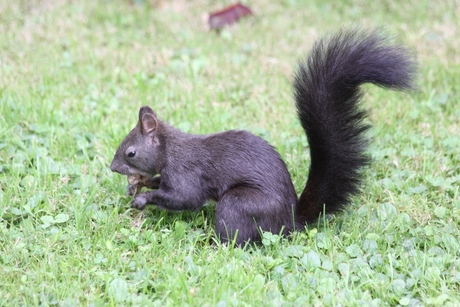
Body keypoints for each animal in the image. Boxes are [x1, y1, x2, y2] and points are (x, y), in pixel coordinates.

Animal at [109, 28, 416, 245]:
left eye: (130, 152)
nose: (112, 168)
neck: (170, 149)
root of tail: (290, 221)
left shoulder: (187, 173)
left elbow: (186, 198)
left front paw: (143, 200)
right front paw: (142, 184)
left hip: (239, 205)